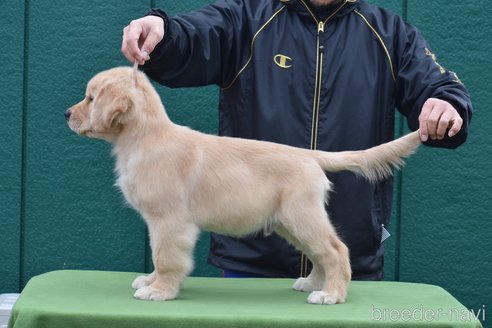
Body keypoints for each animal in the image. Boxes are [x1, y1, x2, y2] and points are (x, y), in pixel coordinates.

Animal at [64, 66, 418, 304]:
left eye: (90, 98)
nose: (67, 113)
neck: (144, 138)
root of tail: (309, 154)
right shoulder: (157, 222)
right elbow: (156, 254)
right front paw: (150, 281)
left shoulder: (170, 219)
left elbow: (166, 256)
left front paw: (160, 290)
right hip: (289, 223)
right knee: (319, 253)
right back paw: (313, 284)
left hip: (301, 215)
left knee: (335, 249)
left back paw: (330, 294)